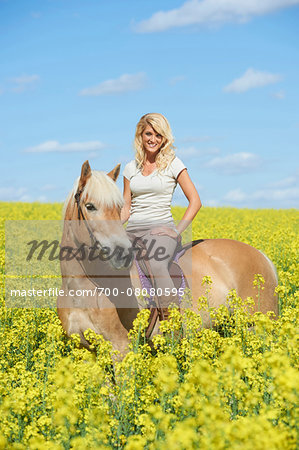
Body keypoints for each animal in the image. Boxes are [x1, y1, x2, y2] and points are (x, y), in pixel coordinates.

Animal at [57, 162, 280, 356]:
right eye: (90, 206)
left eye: (118, 208)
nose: (123, 254)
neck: (83, 285)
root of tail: (261, 255)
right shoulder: (87, 352)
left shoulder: (120, 348)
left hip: (257, 328)